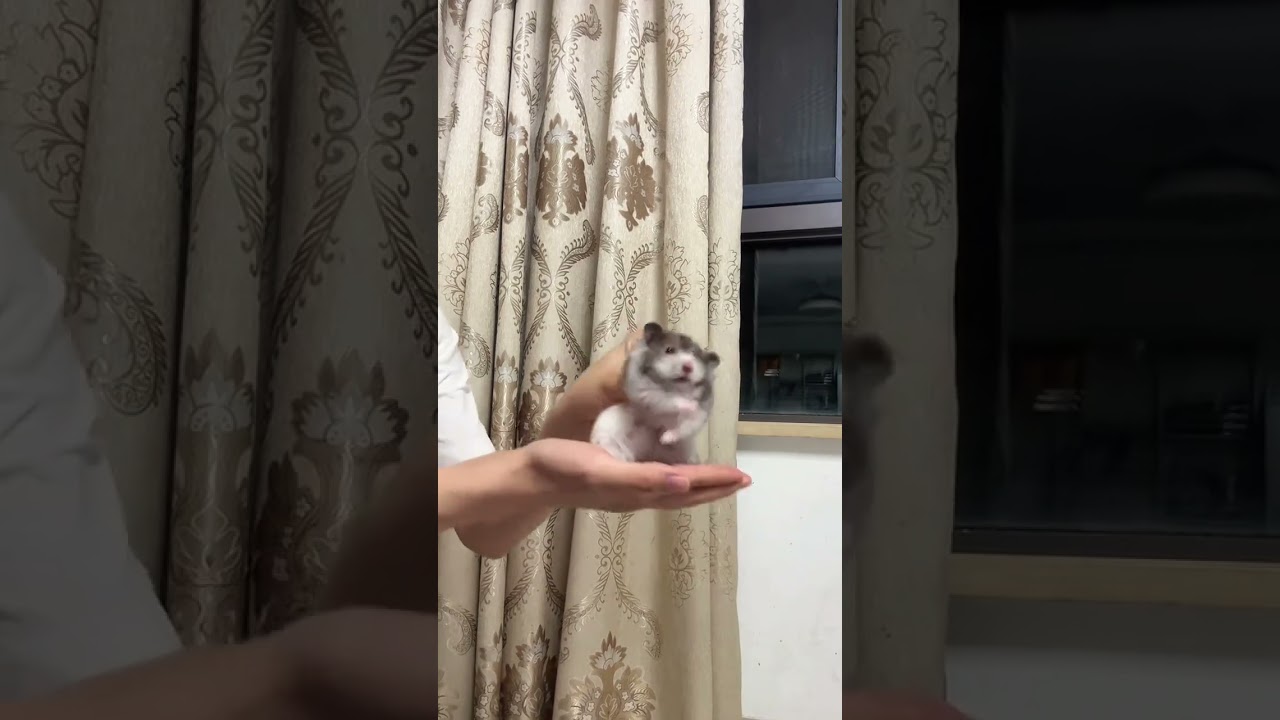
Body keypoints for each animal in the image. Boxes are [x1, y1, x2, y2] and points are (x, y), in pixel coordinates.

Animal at [590, 322, 719, 465]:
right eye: (669, 350)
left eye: (696, 357)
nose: (688, 367)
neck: (675, 388)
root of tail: (650, 455)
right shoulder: (646, 393)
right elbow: (668, 399)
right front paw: (690, 405)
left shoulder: (700, 414)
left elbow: (685, 426)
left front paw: (665, 439)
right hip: (609, 421)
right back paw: (619, 454)